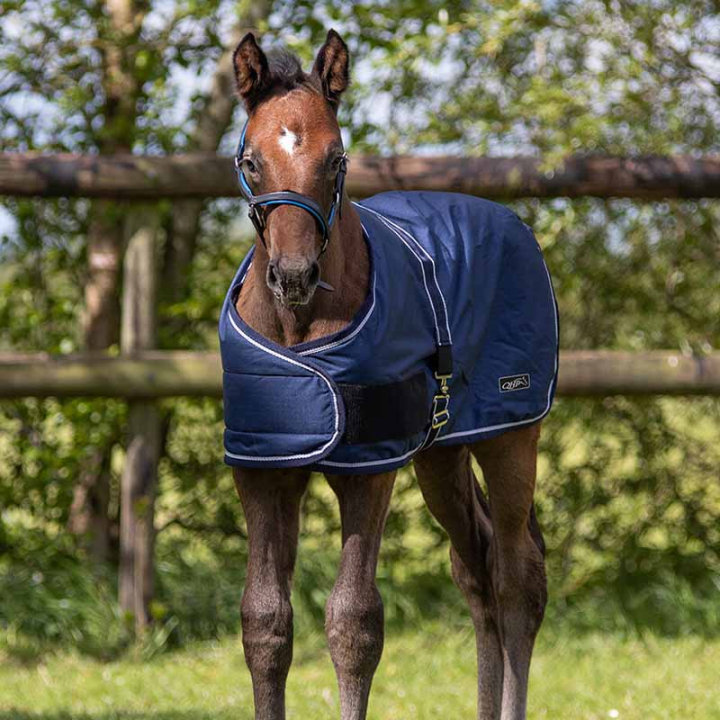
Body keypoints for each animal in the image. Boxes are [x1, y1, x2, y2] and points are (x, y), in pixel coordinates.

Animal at [223, 29, 555, 720]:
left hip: (511, 435)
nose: (293, 276)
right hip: (441, 454)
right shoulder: (262, 467)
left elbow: (354, 623)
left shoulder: (368, 468)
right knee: (476, 569)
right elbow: (264, 622)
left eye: (336, 158)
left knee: (517, 577)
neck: (299, 334)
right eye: (252, 162)